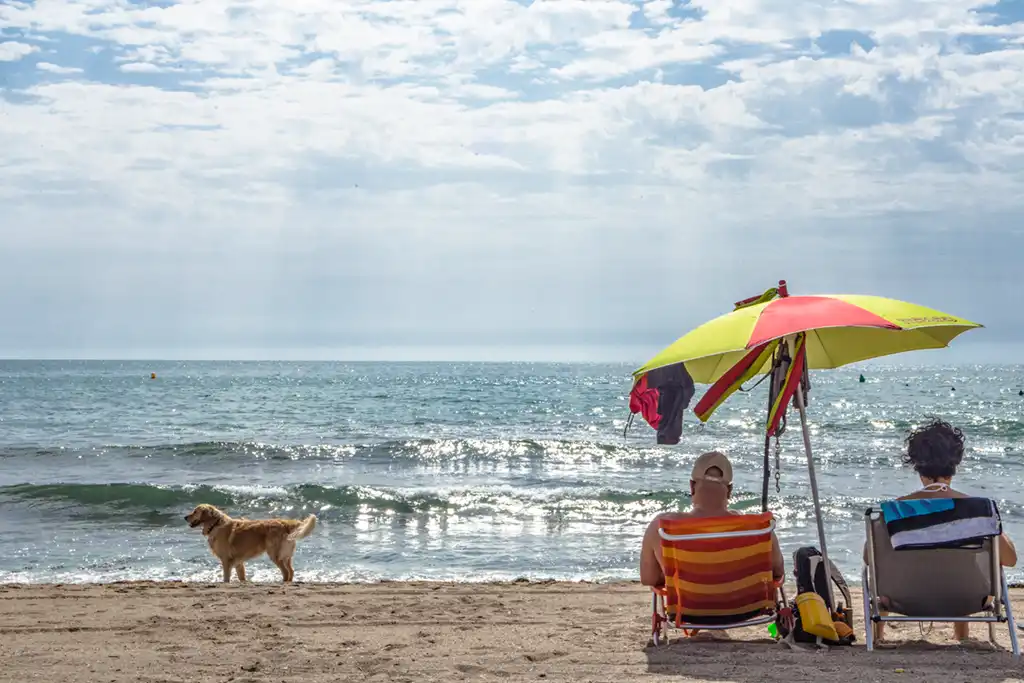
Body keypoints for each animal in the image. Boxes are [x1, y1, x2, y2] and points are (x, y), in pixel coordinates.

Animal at [184, 501, 317, 581]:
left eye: (195, 511)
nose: (185, 517)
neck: (215, 524)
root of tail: (285, 523)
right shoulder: (238, 563)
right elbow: (242, 577)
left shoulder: (226, 561)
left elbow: (226, 579)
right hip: (286, 556)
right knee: (291, 571)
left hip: (275, 554)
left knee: (285, 572)